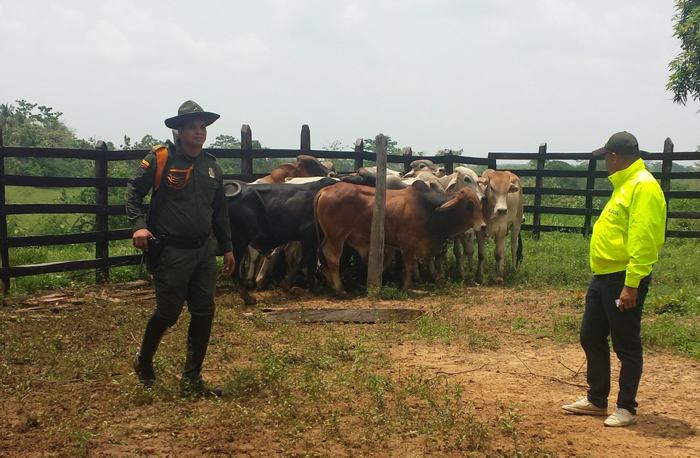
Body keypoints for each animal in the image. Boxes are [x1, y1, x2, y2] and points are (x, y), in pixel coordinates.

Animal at [226, 177, 338, 306]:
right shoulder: (308, 234)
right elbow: (306, 260)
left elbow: (307, 261)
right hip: (239, 242)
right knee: (235, 270)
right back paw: (248, 298)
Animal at [314, 180, 484, 294]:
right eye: (469, 205)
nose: (482, 226)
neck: (428, 207)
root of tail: (325, 190)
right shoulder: (407, 244)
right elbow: (408, 266)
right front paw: (406, 287)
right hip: (337, 236)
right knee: (332, 256)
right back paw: (340, 289)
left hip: (328, 236)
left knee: (322, 254)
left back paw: (331, 283)